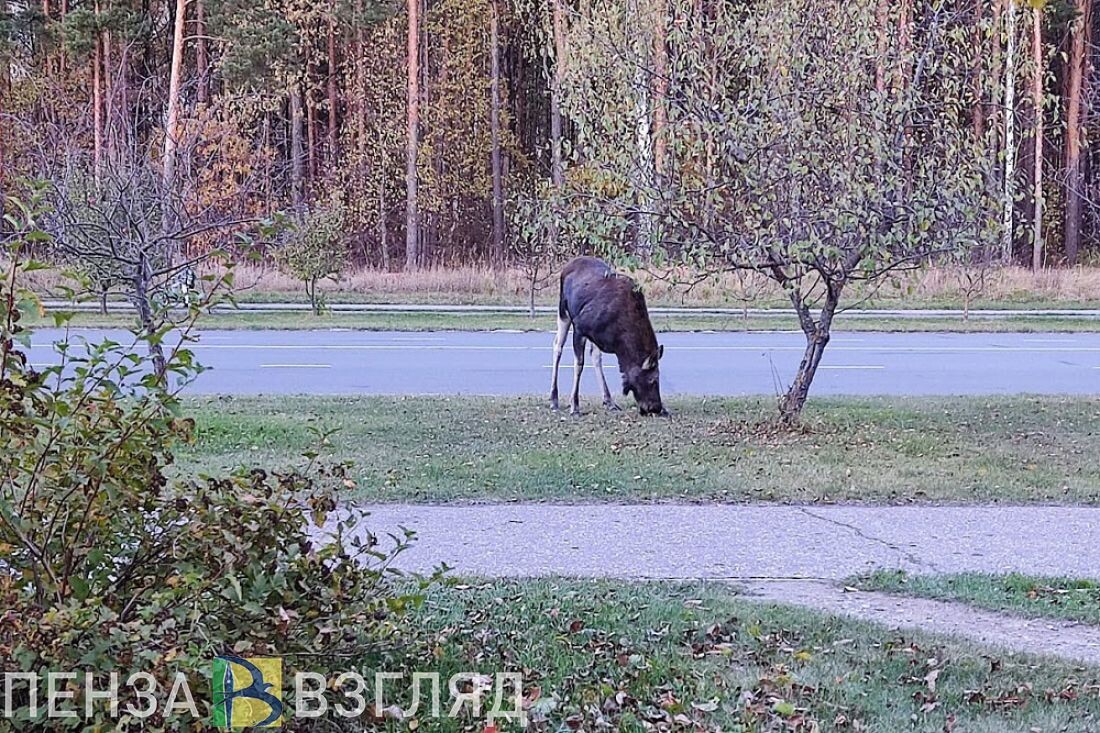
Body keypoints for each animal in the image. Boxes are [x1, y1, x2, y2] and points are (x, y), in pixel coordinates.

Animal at [549, 256, 668, 416]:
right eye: (653, 380)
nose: (657, 407)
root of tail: (569, 264)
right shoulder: (580, 328)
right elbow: (579, 365)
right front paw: (574, 405)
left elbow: (596, 359)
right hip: (563, 311)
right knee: (558, 346)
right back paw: (554, 399)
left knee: (595, 357)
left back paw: (608, 400)